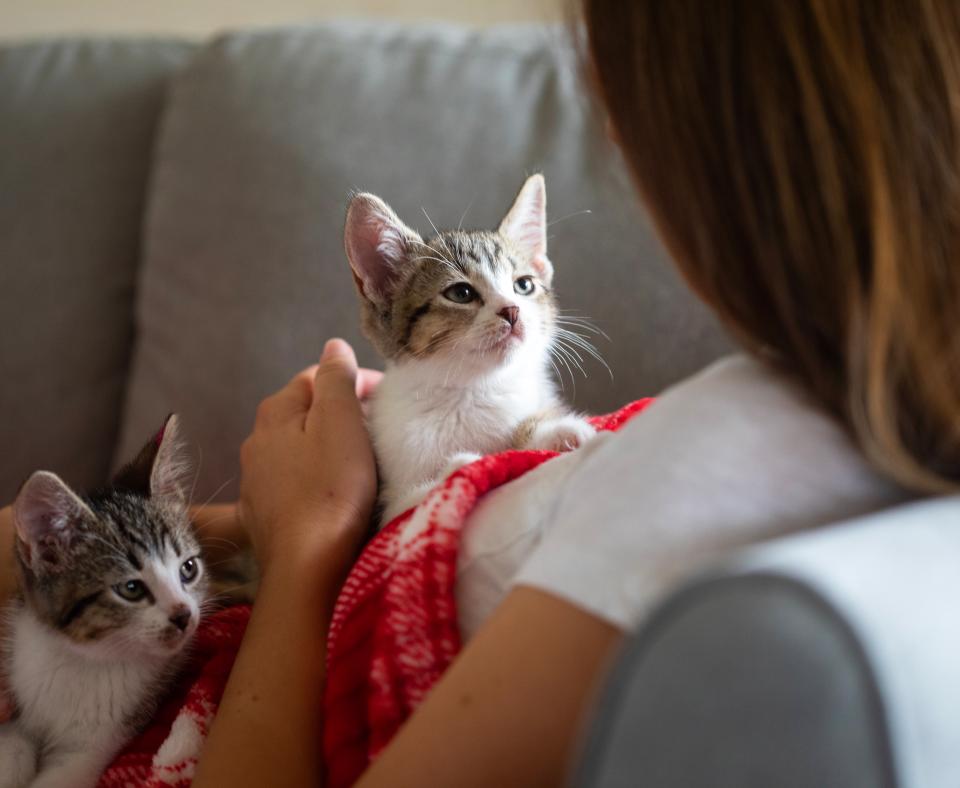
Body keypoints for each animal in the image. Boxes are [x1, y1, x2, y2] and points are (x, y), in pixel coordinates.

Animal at [0, 416, 208, 784]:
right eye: (131, 589)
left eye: (188, 569)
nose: (184, 615)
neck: (83, 660)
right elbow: (14, 746)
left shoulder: (98, 744)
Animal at [344, 174, 596, 524]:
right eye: (460, 293)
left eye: (524, 285)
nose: (512, 310)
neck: (472, 390)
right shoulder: (383, 507)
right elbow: (405, 506)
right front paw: (458, 470)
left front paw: (559, 431)